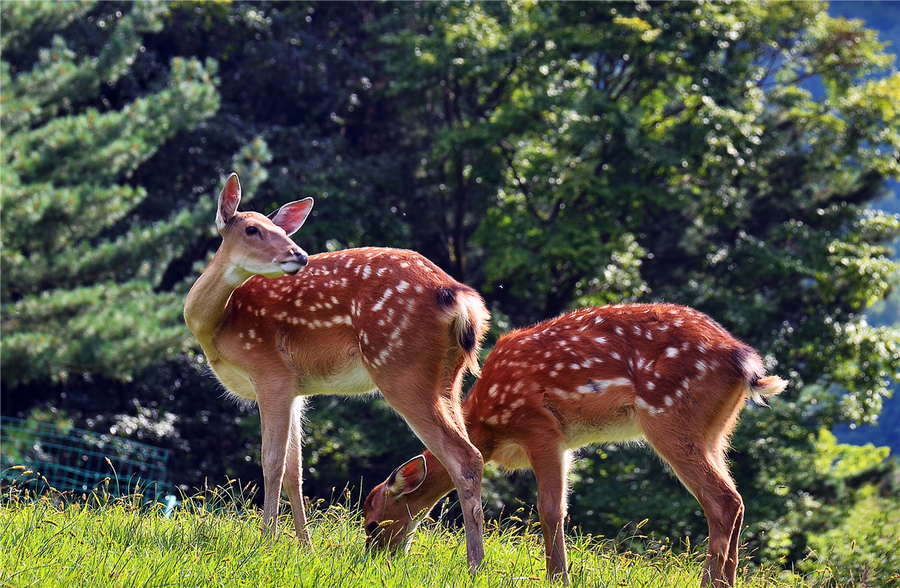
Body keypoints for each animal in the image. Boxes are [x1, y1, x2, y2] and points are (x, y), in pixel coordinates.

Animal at [185, 173, 492, 568]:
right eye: (252, 229)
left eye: (279, 230)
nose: (299, 255)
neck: (220, 323)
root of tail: (460, 299)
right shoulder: (295, 388)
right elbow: (295, 471)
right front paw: (305, 548)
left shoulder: (270, 372)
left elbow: (271, 462)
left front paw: (265, 543)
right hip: (448, 377)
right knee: (472, 454)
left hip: (401, 368)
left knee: (464, 457)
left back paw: (474, 565)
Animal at [366, 306, 788, 584]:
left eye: (372, 523)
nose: (371, 560)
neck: (488, 426)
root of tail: (744, 361)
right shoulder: (567, 442)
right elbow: (560, 508)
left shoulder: (540, 426)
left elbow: (549, 509)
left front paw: (558, 578)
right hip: (716, 431)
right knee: (736, 500)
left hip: (670, 418)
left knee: (722, 500)